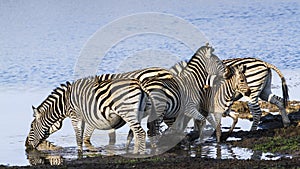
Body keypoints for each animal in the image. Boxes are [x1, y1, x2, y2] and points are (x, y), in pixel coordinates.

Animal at [25, 76, 159, 154]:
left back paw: (141, 154)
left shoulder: (75, 116)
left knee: (140, 133)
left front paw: (79, 152)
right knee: (136, 133)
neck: (64, 103)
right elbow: (82, 135)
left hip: (128, 112)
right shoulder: (83, 118)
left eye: (31, 127)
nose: (26, 146)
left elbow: (78, 137)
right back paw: (135, 152)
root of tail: (140, 85)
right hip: (136, 113)